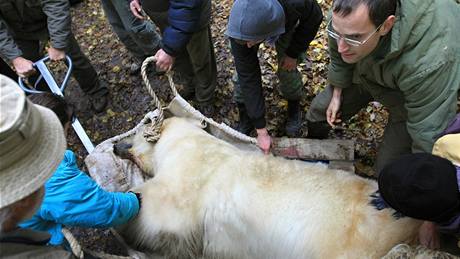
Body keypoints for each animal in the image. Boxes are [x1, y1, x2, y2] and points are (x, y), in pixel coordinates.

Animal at [114, 118, 420, 259]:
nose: (116, 145)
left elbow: (158, 211)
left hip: (353, 244)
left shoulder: (188, 176)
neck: (185, 142)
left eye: (139, 128)